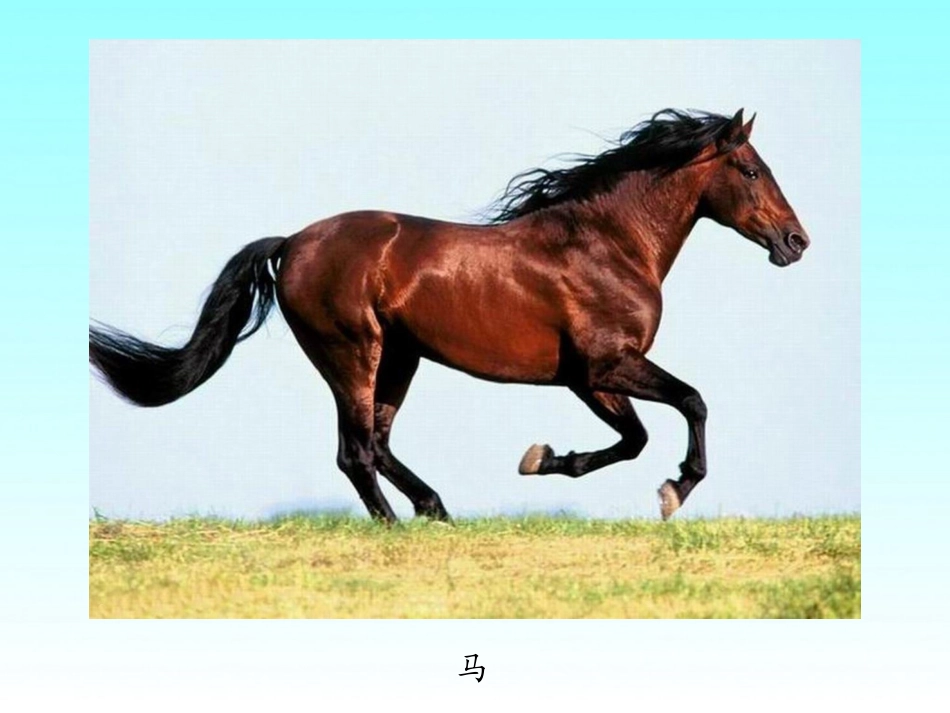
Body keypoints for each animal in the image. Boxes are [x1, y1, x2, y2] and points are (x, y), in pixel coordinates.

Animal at [90, 108, 809, 523]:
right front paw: (674, 490)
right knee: (355, 451)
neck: (607, 243)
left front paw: (543, 459)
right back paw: (398, 526)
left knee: (377, 444)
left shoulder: (588, 378)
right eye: (750, 169)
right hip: (352, 353)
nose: (796, 241)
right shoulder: (608, 363)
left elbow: (634, 438)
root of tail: (292, 243)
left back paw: (436, 511)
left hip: (399, 358)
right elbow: (690, 402)